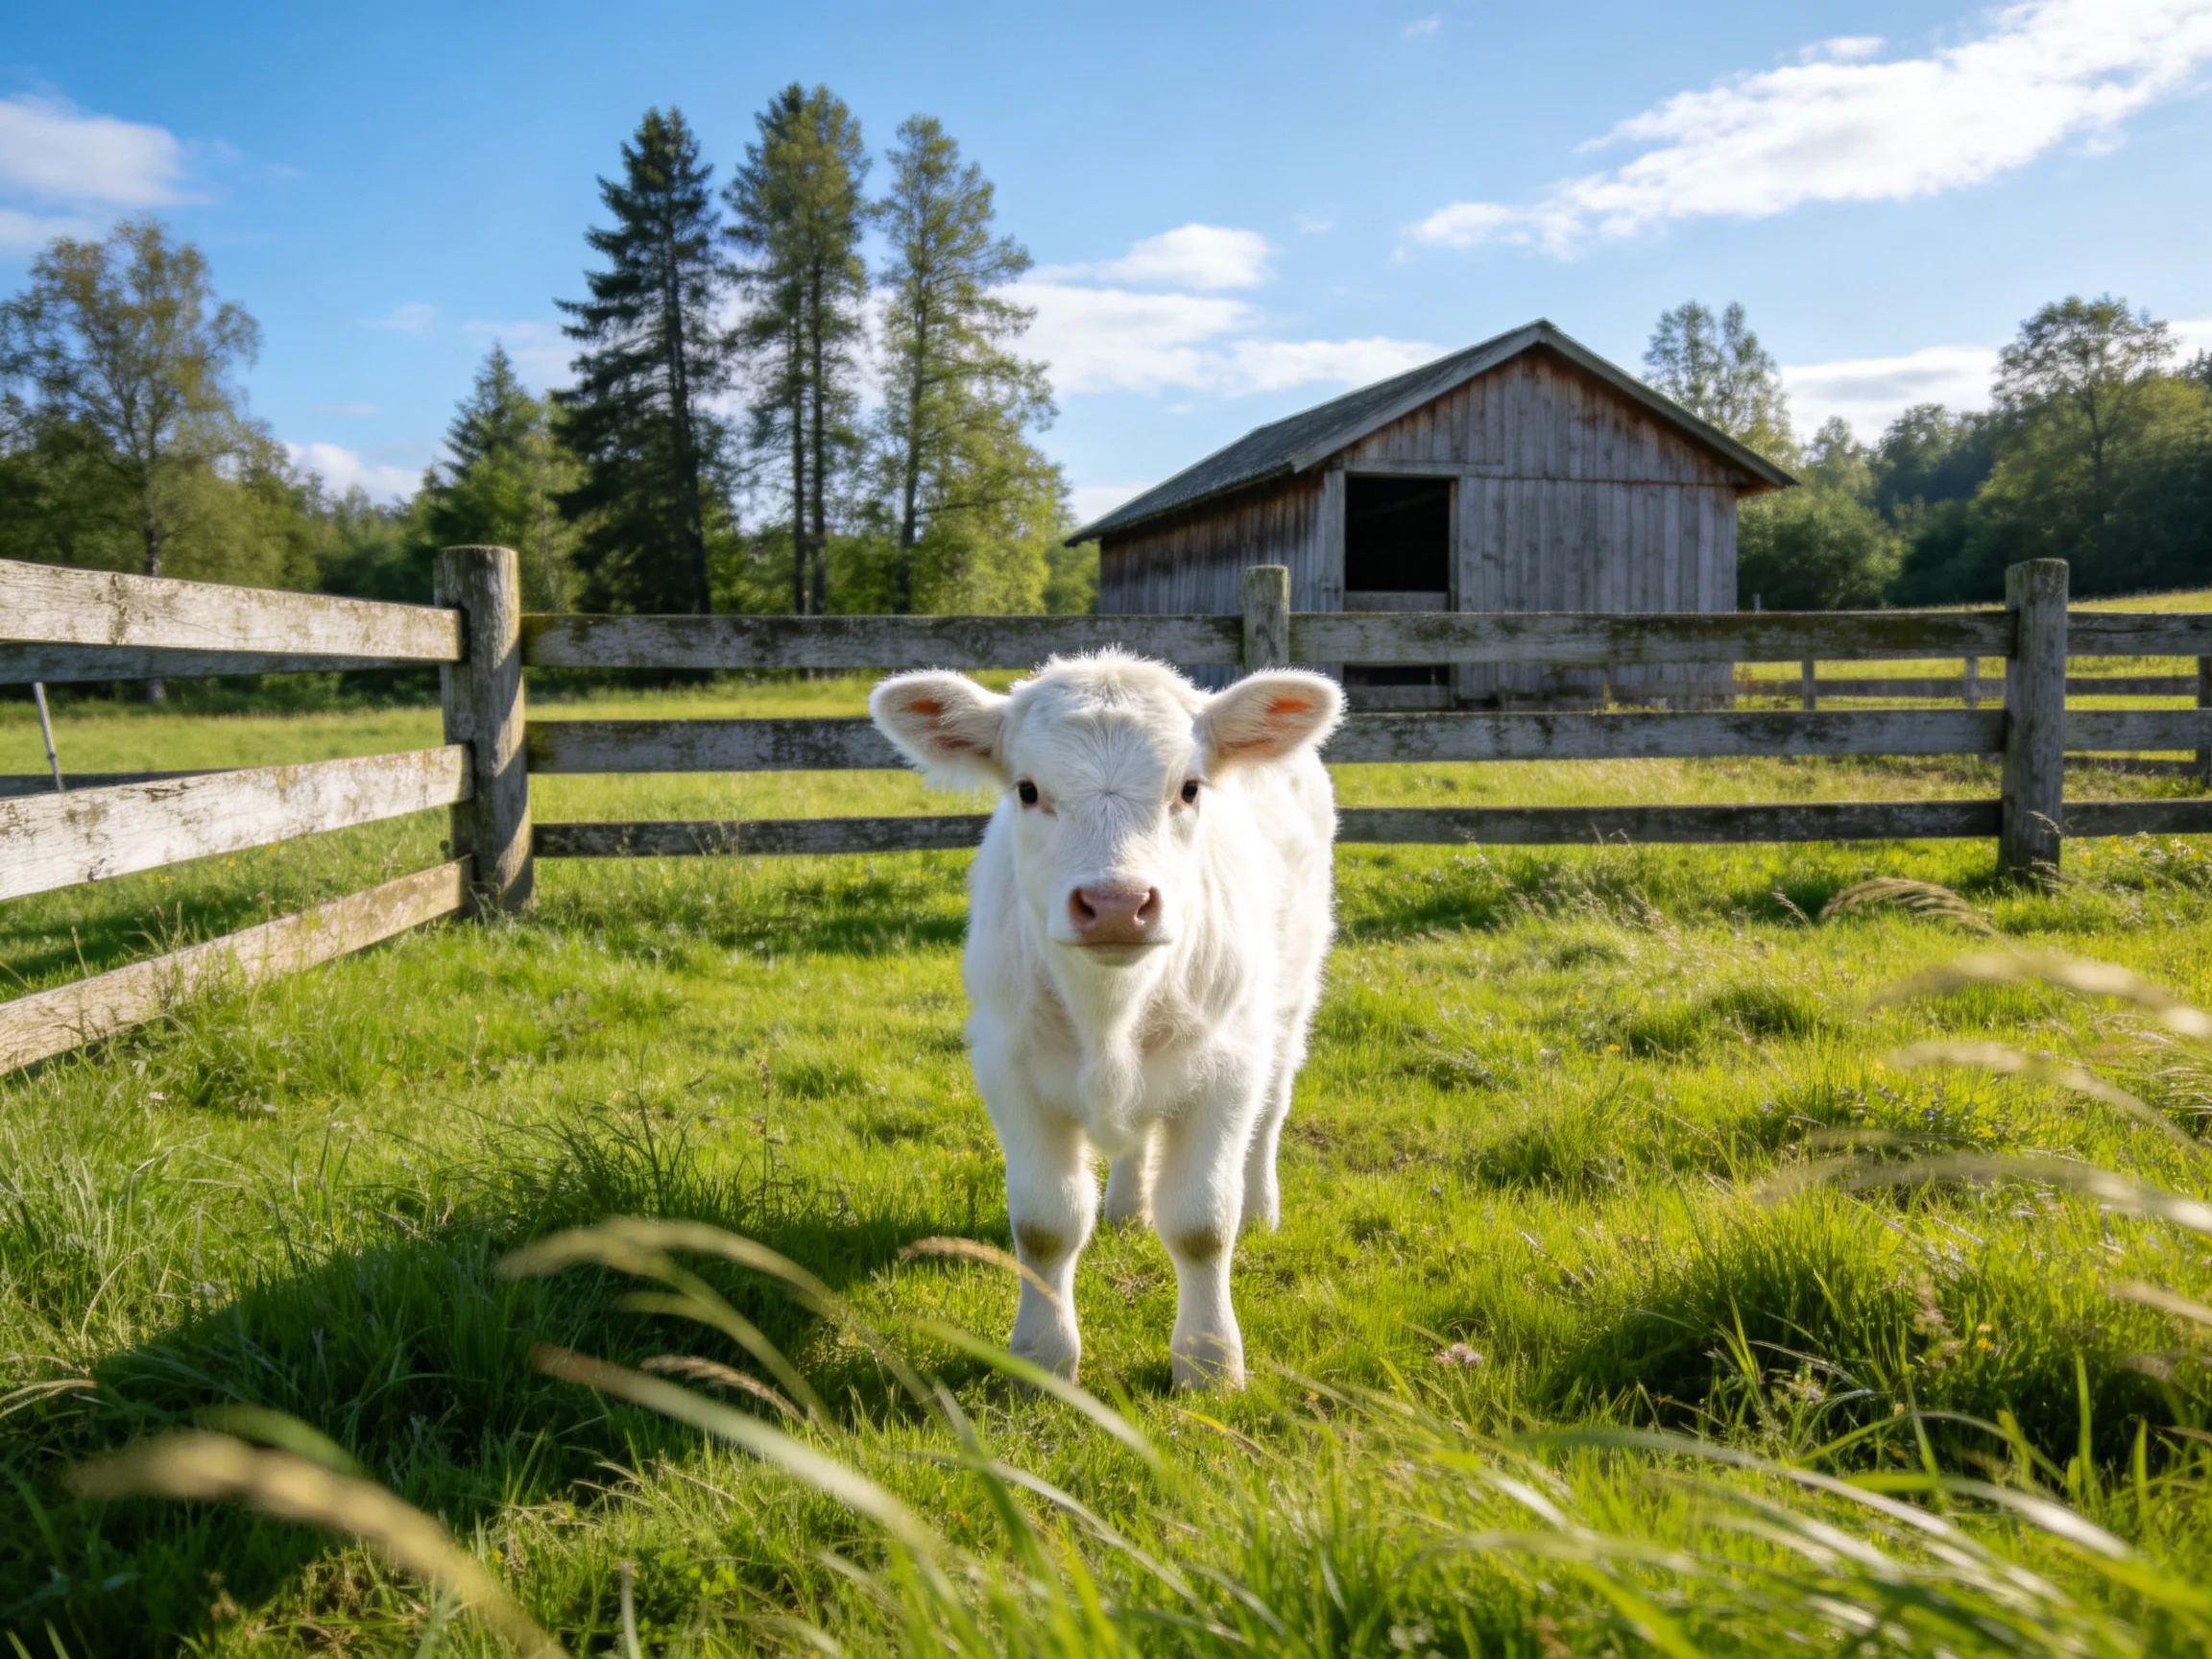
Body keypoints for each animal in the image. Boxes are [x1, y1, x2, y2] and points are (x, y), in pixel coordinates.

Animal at [870, 651, 1342, 1389]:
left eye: (1190, 788)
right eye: (1027, 789)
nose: (1117, 903)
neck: (1110, 1013)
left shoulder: (1227, 1067)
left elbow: (1203, 1224)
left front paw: (1210, 1362)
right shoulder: (1010, 1067)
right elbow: (1045, 1224)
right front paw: (1041, 1356)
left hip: (1292, 998)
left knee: (1271, 1112)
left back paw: (1261, 1206)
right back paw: (1125, 1208)